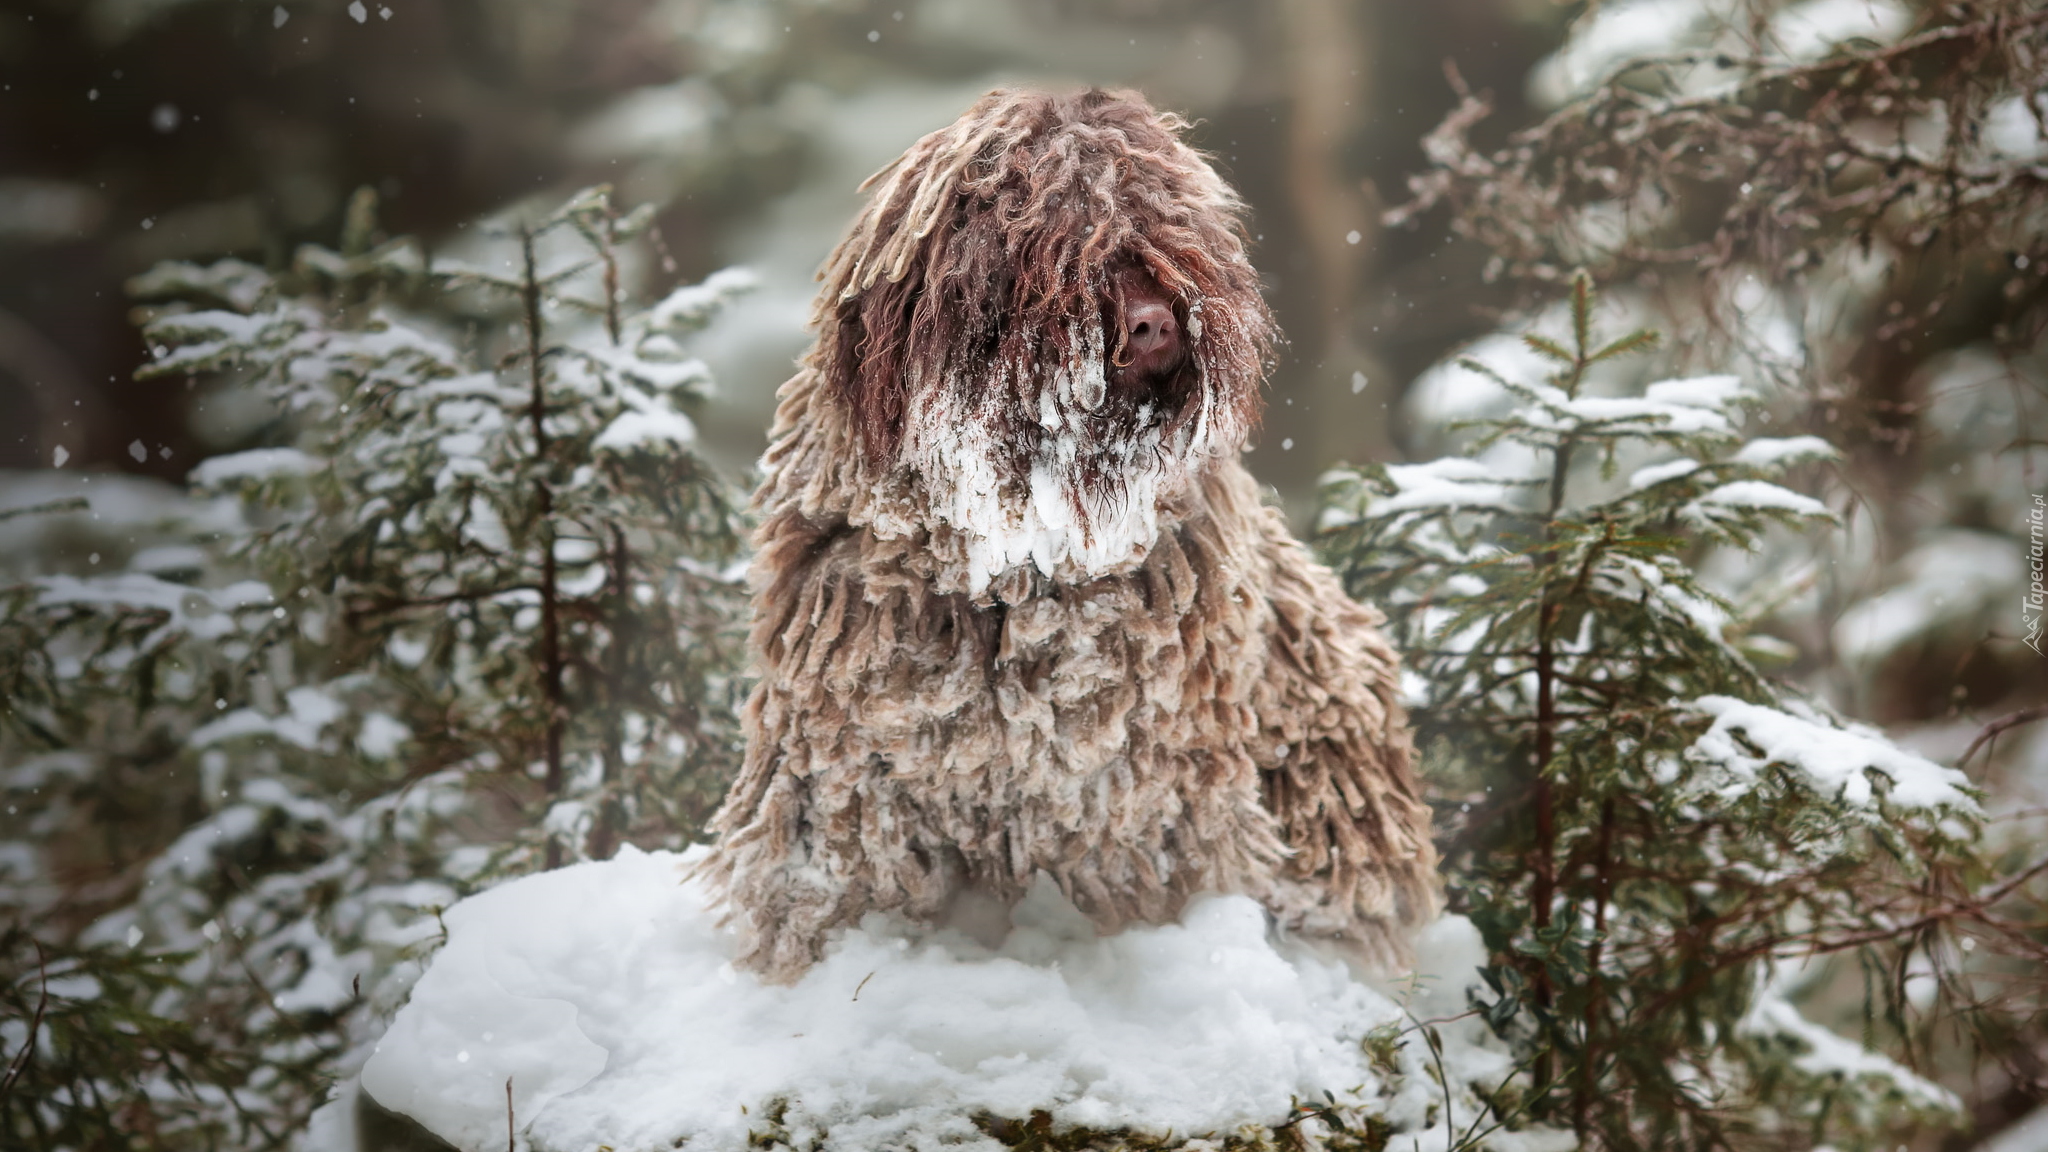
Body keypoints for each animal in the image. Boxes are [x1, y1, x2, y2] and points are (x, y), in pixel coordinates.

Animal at [696, 87, 1433, 975]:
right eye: (1054, 241)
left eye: (1168, 227)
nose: (1155, 323)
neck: (1018, 554)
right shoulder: (845, 766)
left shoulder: (1143, 791)